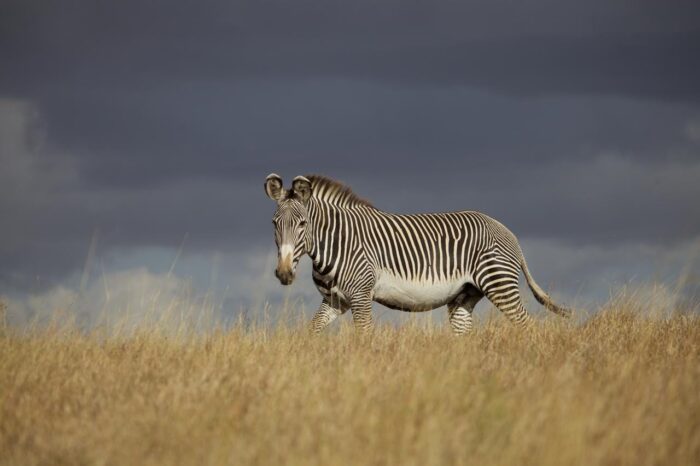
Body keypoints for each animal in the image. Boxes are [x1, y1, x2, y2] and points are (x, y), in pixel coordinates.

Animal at [266, 173, 572, 334]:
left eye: (303, 224)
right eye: (274, 223)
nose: (283, 273)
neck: (335, 242)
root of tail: (508, 232)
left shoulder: (361, 297)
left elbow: (364, 338)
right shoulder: (335, 300)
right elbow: (312, 330)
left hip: (500, 284)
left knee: (527, 325)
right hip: (464, 296)